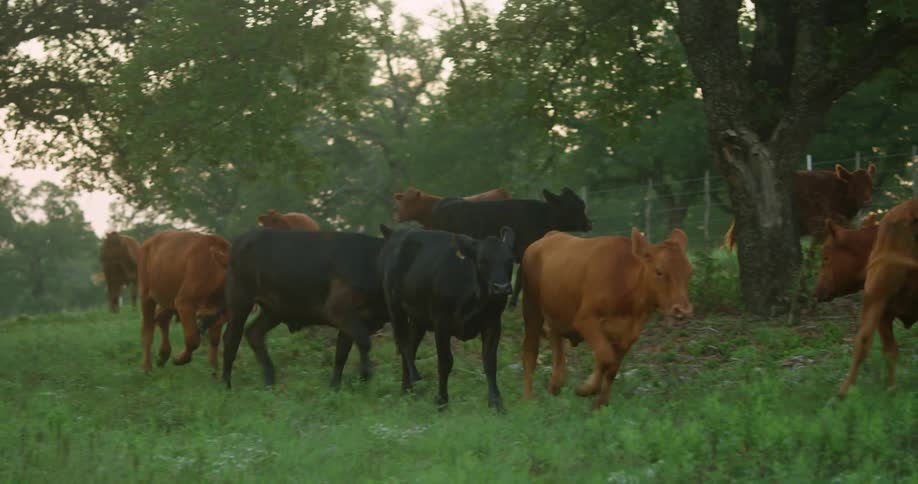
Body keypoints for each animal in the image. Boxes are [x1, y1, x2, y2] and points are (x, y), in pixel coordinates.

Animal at [137, 230, 230, 374]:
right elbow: (193, 339)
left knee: (162, 319)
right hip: (147, 295)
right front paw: (180, 359)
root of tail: (149, 242)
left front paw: (214, 369)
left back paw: (163, 355)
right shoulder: (184, 303)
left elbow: (214, 338)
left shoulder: (220, 313)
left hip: (168, 299)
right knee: (148, 330)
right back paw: (147, 367)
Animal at [217, 229, 417, 389]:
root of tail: (241, 240)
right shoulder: (339, 310)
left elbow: (341, 355)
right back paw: (226, 385)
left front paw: (335, 386)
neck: (372, 264)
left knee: (254, 333)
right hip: (240, 301)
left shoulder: (352, 321)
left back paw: (269, 381)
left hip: (275, 310)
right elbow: (364, 342)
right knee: (231, 339)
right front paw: (364, 375)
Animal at [379, 225, 515, 412]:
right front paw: (442, 401)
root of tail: (397, 232)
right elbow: (445, 362)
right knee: (404, 344)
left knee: (411, 345)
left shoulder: (493, 323)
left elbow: (490, 362)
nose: (501, 288)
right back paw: (416, 379)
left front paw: (496, 403)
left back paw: (407, 390)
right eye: (482, 261)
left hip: (419, 318)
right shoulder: (441, 323)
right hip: (394, 306)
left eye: (510, 260)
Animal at [521, 228, 694, 410]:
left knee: (557, 347)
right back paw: (527, 399)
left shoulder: (629, 335)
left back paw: (555, 385)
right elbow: (605, 357)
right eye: (659, 271)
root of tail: (550, 235)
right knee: (530, 352)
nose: (683, 310)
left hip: (556, 315)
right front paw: (586, 388)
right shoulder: (585, 320)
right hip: (531, 308)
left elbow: (611, 368)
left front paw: (600, 405)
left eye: (690, 272)